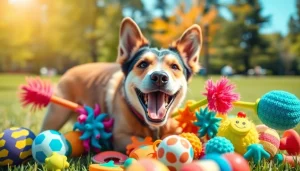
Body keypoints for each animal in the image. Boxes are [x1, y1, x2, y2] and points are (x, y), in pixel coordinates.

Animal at [41, 16, 203, 152]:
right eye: (143, 64)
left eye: (174, 67)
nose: (159, 77)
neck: (153, 125)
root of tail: (70, 70)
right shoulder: (119, 136)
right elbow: (141, 141)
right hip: (57, 113)